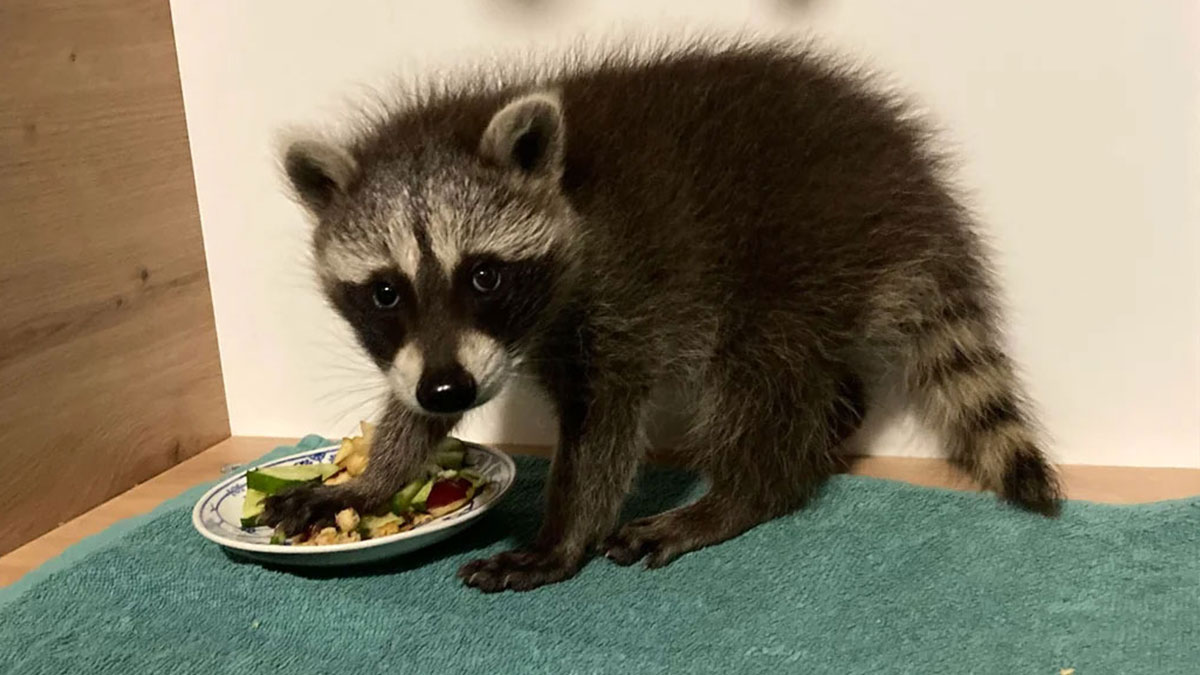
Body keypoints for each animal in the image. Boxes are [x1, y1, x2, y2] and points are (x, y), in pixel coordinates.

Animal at [263, 40, 1062, 592]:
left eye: (484, 275)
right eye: (386, 292)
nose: (447, 390)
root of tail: (909, 179)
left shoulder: (619, 296)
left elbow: (603, 429)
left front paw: (562, 537)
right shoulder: (451, 348)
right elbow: (416, 396)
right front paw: (375, 478)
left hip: (800, 254)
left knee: (760, 384)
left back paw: (743, 494)